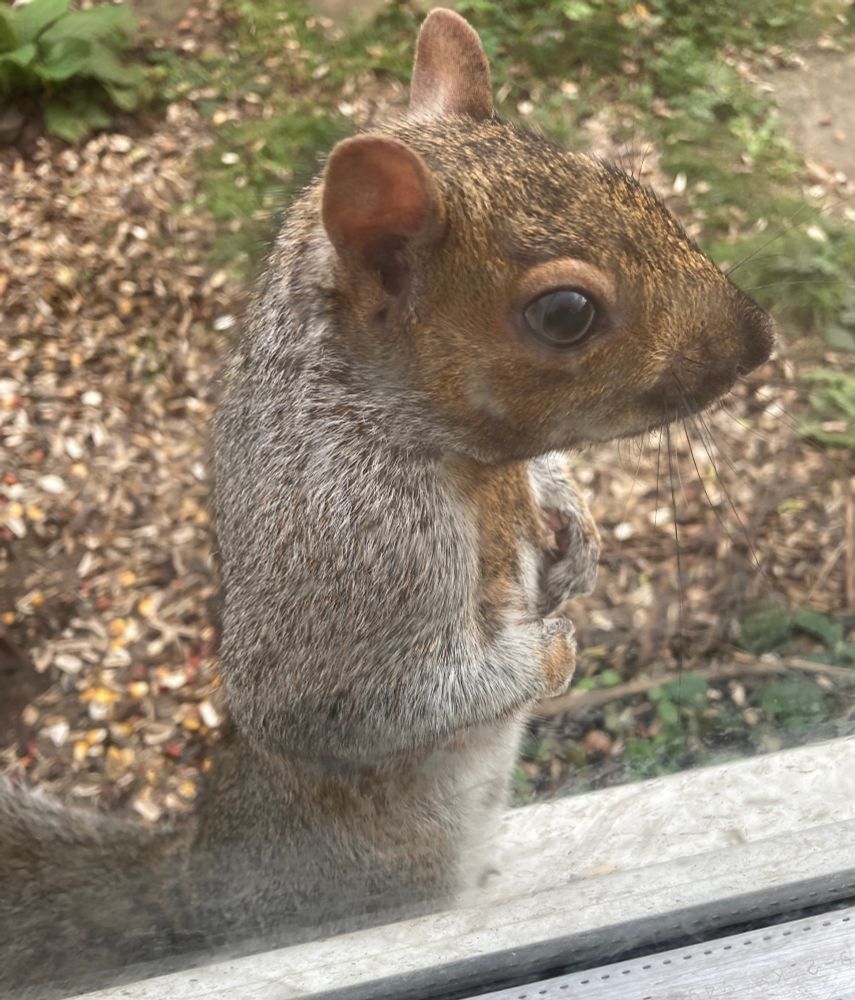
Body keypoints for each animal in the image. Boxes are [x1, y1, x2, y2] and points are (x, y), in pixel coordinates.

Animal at [0, 8, 775, 997]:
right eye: (565, 314)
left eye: (633, 188)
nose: (759, 341)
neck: (459, 455)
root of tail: (194, 888)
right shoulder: (358, 538)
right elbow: (353, 704)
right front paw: (548, 650)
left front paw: (575, 525)